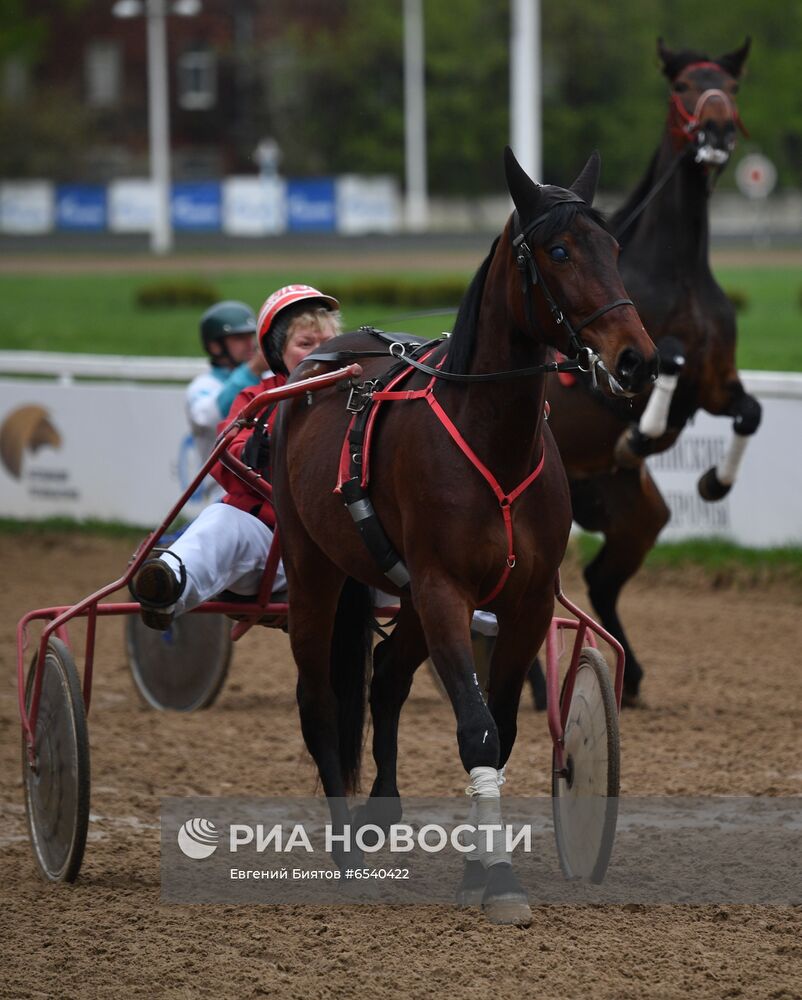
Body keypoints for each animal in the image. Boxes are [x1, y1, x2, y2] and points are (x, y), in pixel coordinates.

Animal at [270, 145, 656, 924]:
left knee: (385, 677)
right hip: (315, 566)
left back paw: (381, 813)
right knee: (320, 699)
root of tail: (318, 365)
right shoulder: (446, 589)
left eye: (614, 248)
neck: (490, 439)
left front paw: (479, 869)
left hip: (406, 592)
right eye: (559, 250)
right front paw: (500, 877)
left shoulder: (525, 599)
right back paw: (347, 855)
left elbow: (501, 729)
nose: (638, 358)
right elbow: (475, 726)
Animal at [536, 39, 760, 708]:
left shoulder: (715, 385)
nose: (716, 129)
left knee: (600, 579)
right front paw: (639, 436)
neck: (676, 269)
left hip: (637, 514)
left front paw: (714, 481)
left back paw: (627, 674)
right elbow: (668, 358)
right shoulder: (614, 372)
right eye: (684, 85)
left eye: (730, 86)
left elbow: (749, 410)